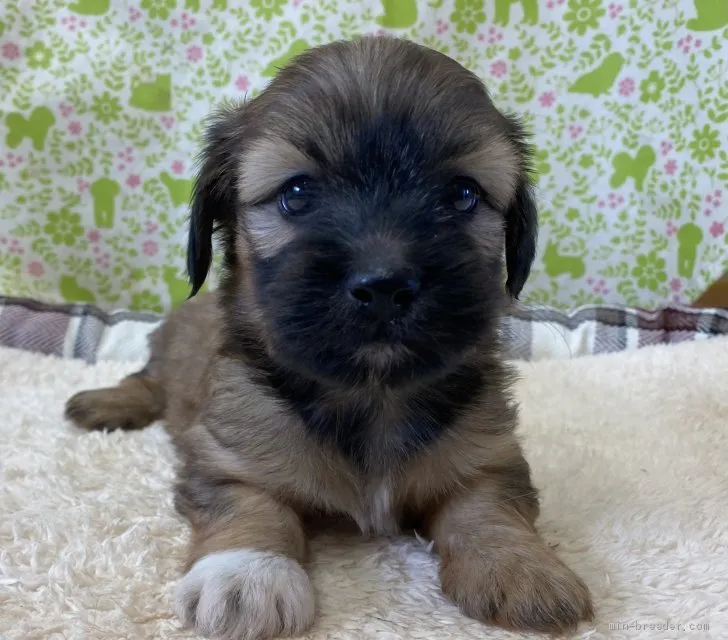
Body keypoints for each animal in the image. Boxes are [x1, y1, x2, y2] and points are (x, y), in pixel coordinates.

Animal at [65, 36, 596, 640]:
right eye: (296, 193)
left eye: (462, 195)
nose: (384, 285)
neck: (371, 396)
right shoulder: (227, 457)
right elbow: (251, 507)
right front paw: (246, 577)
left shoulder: (489, 452)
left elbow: (489, 504)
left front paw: (521, 565)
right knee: (144, 381)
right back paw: (106, 403)